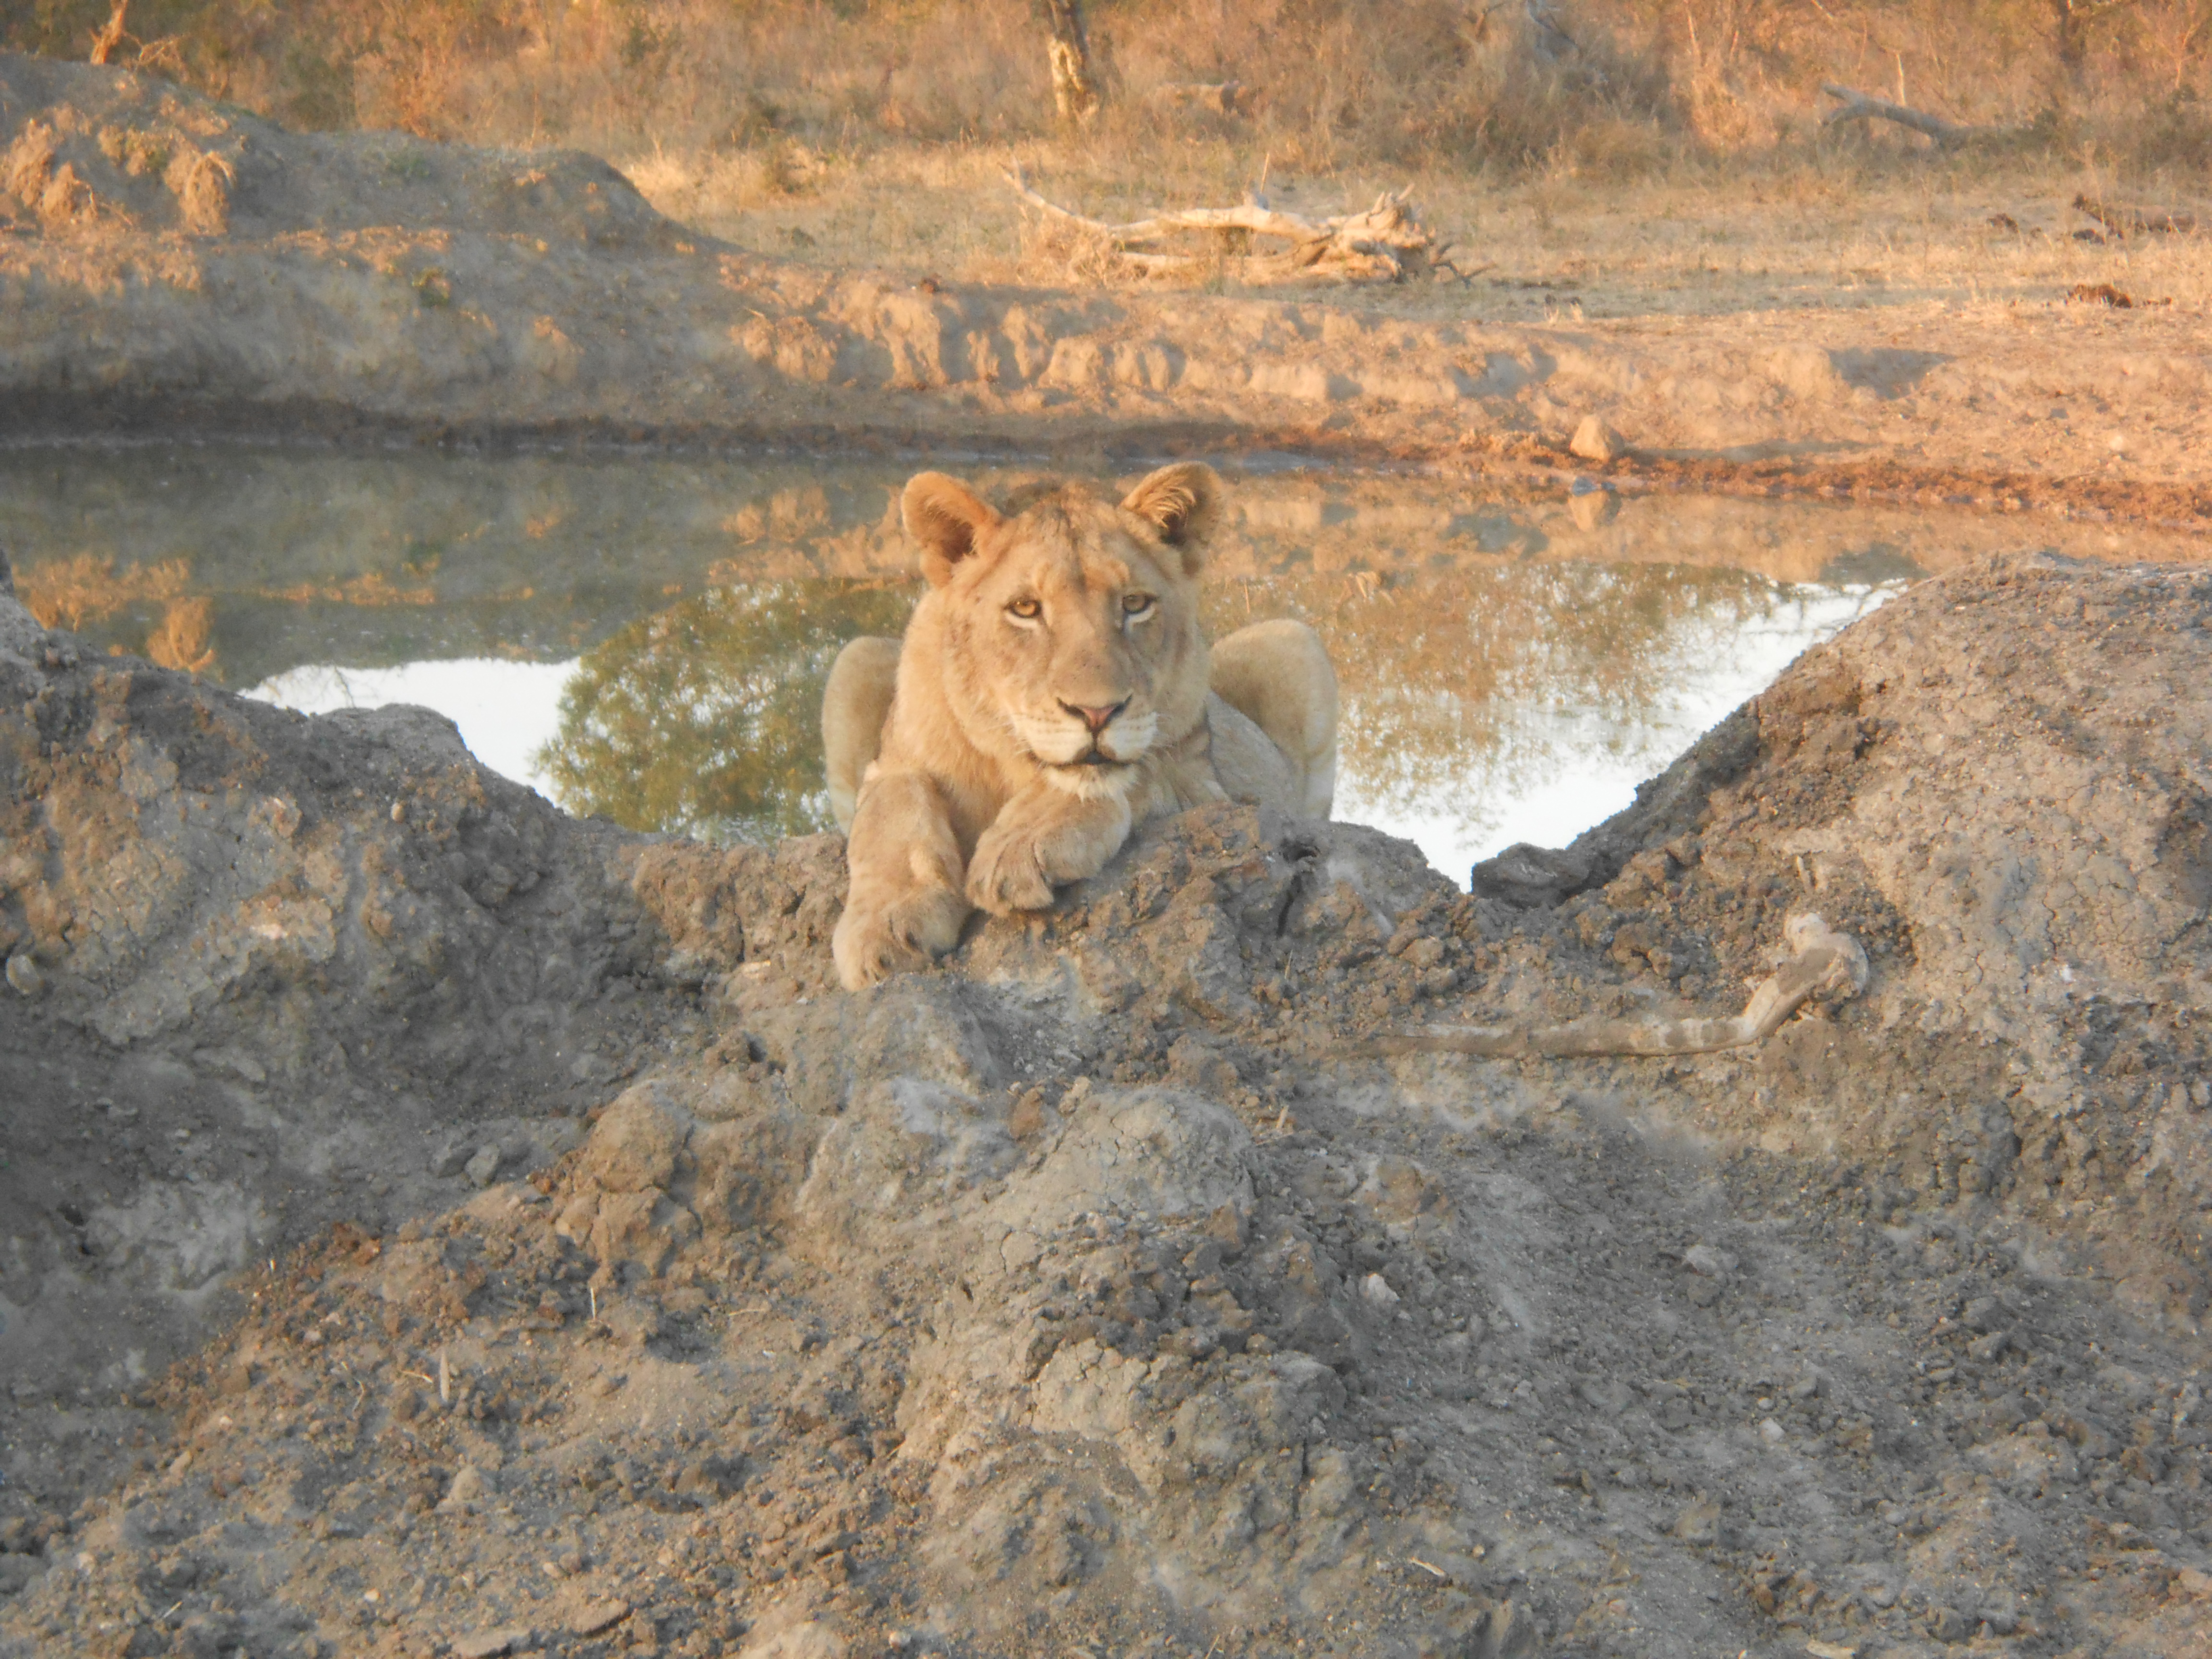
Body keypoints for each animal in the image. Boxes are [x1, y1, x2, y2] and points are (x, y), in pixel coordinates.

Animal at [822, 463, 1337, 991]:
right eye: (1026, 609)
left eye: (1135, 604)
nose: (1097, 714)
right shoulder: (889, 760)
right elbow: (891, 807)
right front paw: (886, 926)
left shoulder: (1204, 782)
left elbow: (1129, 775)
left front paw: (1019, 845)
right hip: (857, 657)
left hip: (1293, 639)